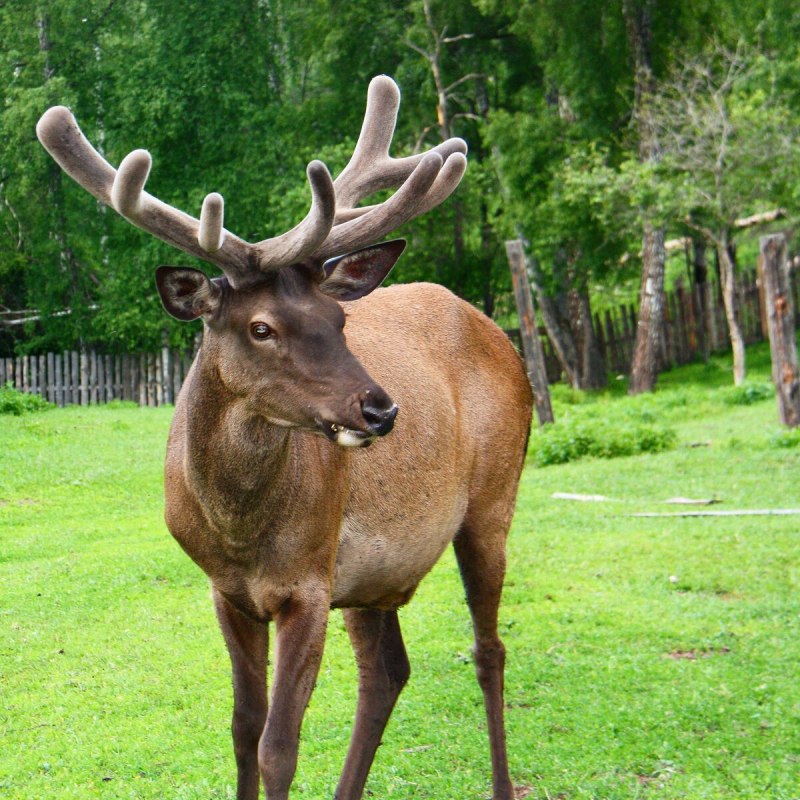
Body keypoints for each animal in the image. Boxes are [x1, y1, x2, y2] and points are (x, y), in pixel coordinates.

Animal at [36, 76, 533, 800]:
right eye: (261, 327)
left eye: (339, 318)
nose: (382, 408)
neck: (242, 532)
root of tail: (504, 339)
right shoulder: (227, 592)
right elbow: (244, 728)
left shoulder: (308, 583)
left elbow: (279, 746)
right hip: (375, 574)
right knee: (388, 670)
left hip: (492, 500)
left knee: (488, 649)